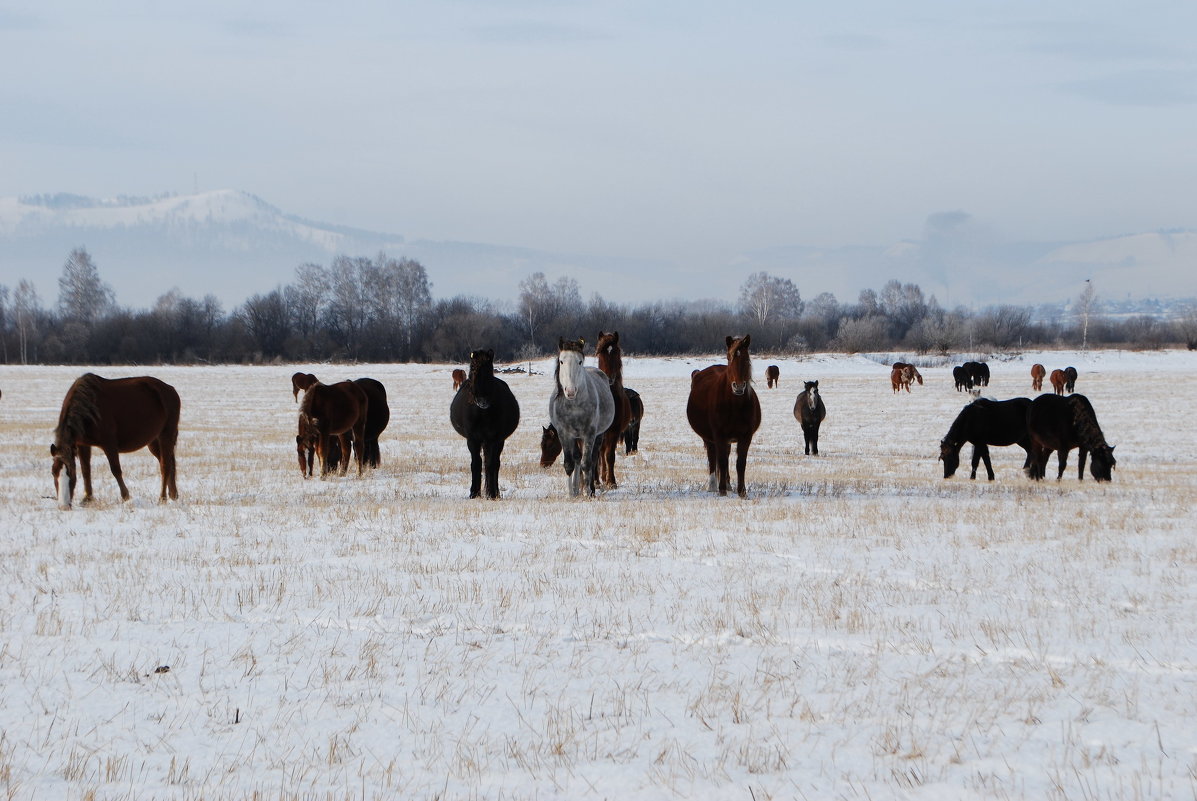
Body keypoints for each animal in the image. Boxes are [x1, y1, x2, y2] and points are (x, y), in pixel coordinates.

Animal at [50, 373, 179, 510]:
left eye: (71, 473)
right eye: (53, 472)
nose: (63, 506)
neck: (89, 407)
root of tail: (171, 390)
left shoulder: (109, 444)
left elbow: (115, 469)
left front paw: (126, 496)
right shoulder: (82, 444)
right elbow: (86, 470)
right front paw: (87, 498)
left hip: (166, 435)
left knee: (165, 465)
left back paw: (162, 498)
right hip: (153, 441)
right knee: (168, 463)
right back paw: (173, 494)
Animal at [450, 347, 519, 495]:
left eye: (489, 369)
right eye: (473, 368)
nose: (482, 400)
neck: (482, 413)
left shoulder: (494, 439)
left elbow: (491, 464)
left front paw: (492, 493)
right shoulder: (472, 439)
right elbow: (476, 463)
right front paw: (474, 492)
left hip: (497, 442)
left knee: (495, 464)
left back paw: (495, 492)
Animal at [548, 335, 612, 493]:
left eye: (580, 361)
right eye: (561, 361)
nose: (570, 391)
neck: (574, 407)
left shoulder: (589, 434)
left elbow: (586, 464)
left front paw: (588, 492)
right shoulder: (564, 434)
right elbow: (569, 464)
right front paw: (571, 493)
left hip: (597, 436)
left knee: (593, 459)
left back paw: (590, 489)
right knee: (577, 457)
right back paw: (577, 489)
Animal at [689, 330, 761, 493]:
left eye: (746, 358)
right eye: (729, 357)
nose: (738, 386)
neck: (734, 405)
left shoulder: (746, 436)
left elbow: (740, 463)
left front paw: (742, 491)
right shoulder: (719, 435)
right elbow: (721, 461)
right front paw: (721, 490)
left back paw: (728, 485)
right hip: (709, 438)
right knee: (713, 458)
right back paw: (713, 486)